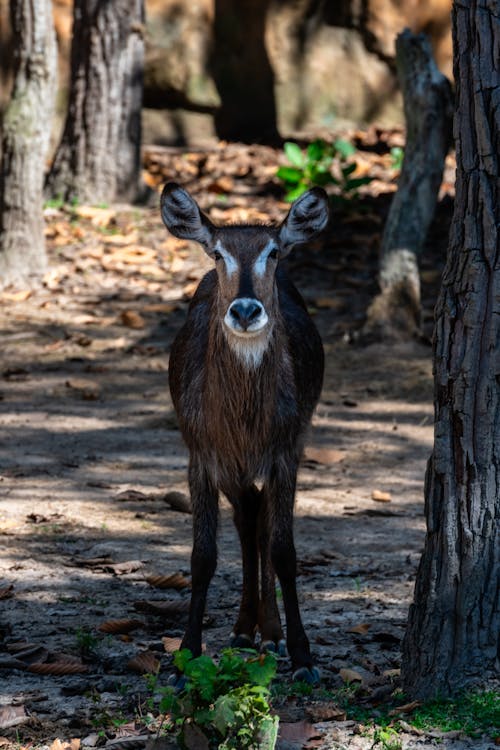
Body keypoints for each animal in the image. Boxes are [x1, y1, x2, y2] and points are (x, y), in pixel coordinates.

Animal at [160, 184, 328, 688]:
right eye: (218, 253)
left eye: (273, 252)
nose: (247, 310)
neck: (245, 421)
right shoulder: (203, 455)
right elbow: (202, 557)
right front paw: (185, 657)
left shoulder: (286, 453)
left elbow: (285, 550)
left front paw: (302, 655)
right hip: (231, 469)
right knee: (248, 518)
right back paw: (242, 629)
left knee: (262, 523)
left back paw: (268, 633)